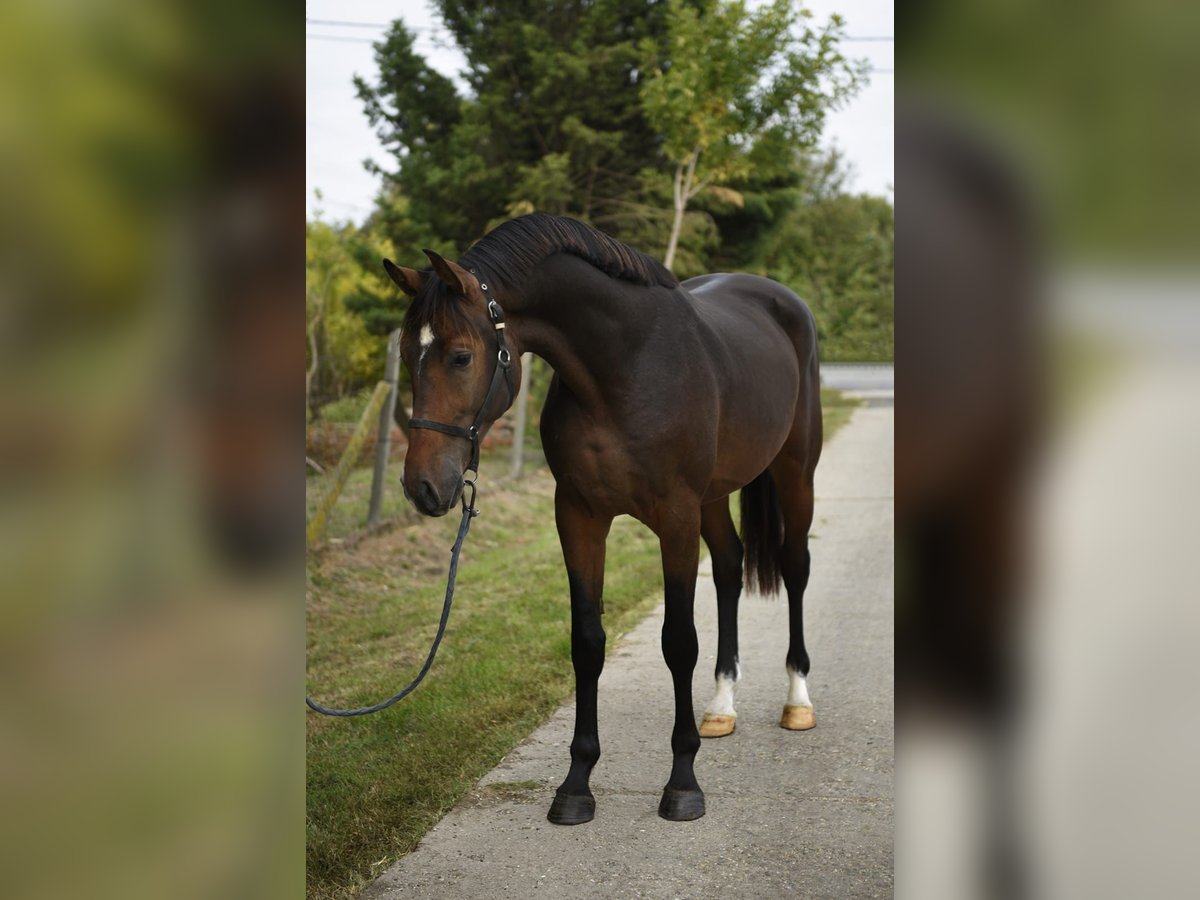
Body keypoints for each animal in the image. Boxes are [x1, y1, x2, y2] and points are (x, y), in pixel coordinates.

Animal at [383, 213, 821, 824]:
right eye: (406, 355)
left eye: (461, 356)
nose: (423, 487)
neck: (625, 367)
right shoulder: (578, 516)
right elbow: (587, 642)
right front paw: (576, 785)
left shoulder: (676, 518)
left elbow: (678, 642)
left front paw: (682, 784)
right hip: (714, 497)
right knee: (730, 569)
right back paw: (720, 708)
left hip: (794, 472)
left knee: (794, 567)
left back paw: (797, 700)